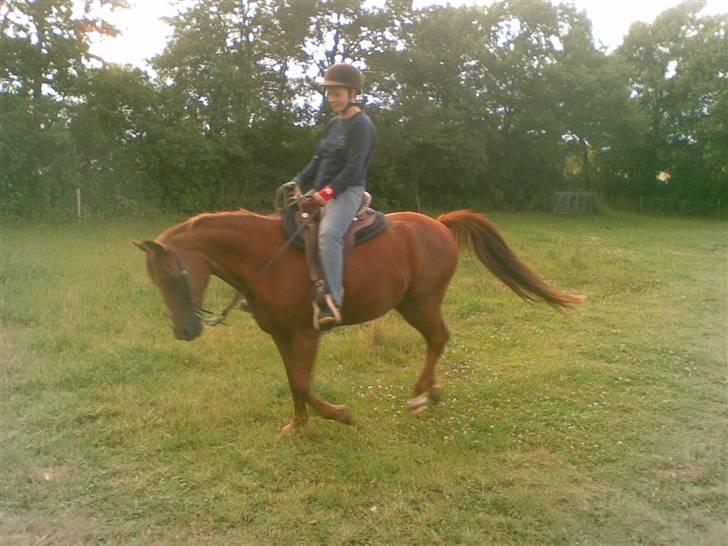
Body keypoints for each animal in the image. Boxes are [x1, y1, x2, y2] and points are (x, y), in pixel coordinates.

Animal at [133, 208, 584, 433]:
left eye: (172, 277)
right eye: (154, 280)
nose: (184, 331)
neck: (268, 258)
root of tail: (439, 225)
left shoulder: (307, 333)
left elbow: (303, 382)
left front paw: (339, 415)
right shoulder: (281, 335)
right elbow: (293, 381)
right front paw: (298, 425)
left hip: (421, 302)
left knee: (438, 337)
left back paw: (420, 395)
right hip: (410, 304)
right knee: (437, 339)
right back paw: (433, 391)